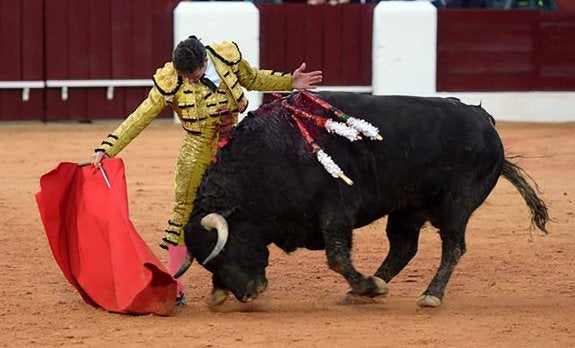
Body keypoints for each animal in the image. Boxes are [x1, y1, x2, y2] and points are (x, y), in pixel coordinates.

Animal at [176, 92, 548, 308]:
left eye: (228, 249)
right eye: (210, 262)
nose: (249, 294)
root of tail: (482, 117)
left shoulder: (336, 208)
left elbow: (337, 257)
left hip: (456, 203)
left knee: (453, 246)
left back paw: (429, 294)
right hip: (407, 207)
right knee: (403, 246)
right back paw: (369, 287)